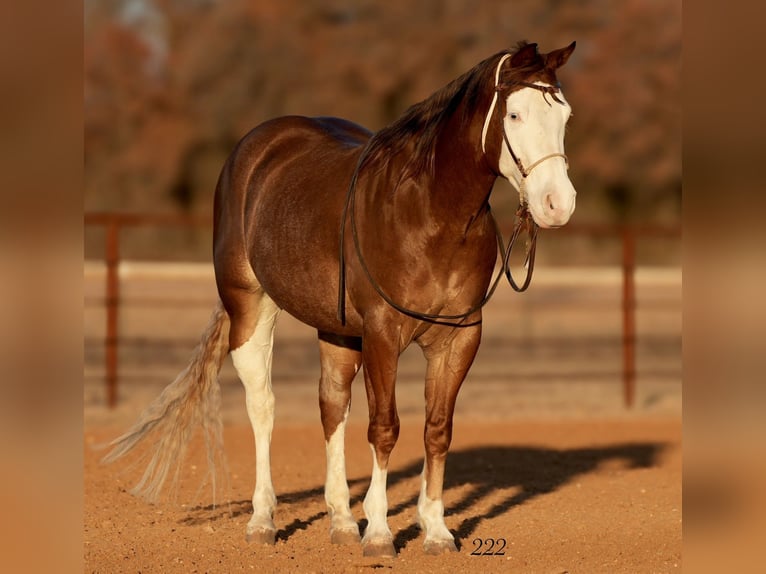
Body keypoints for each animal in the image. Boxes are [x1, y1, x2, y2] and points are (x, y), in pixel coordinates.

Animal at [104, 40, 577, 557]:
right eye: (513, 114)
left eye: (565, 115)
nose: (559, 205)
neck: (430, 213)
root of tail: (257, 147)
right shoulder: (383, 332)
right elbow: (385, 427)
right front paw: (381, 534)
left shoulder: (459, 338)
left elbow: (436, 430)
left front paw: (435, 530)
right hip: (250, 308)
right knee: (263, 406)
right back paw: (263, 521)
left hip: (336, 330)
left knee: (331, 405)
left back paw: (341, 522)